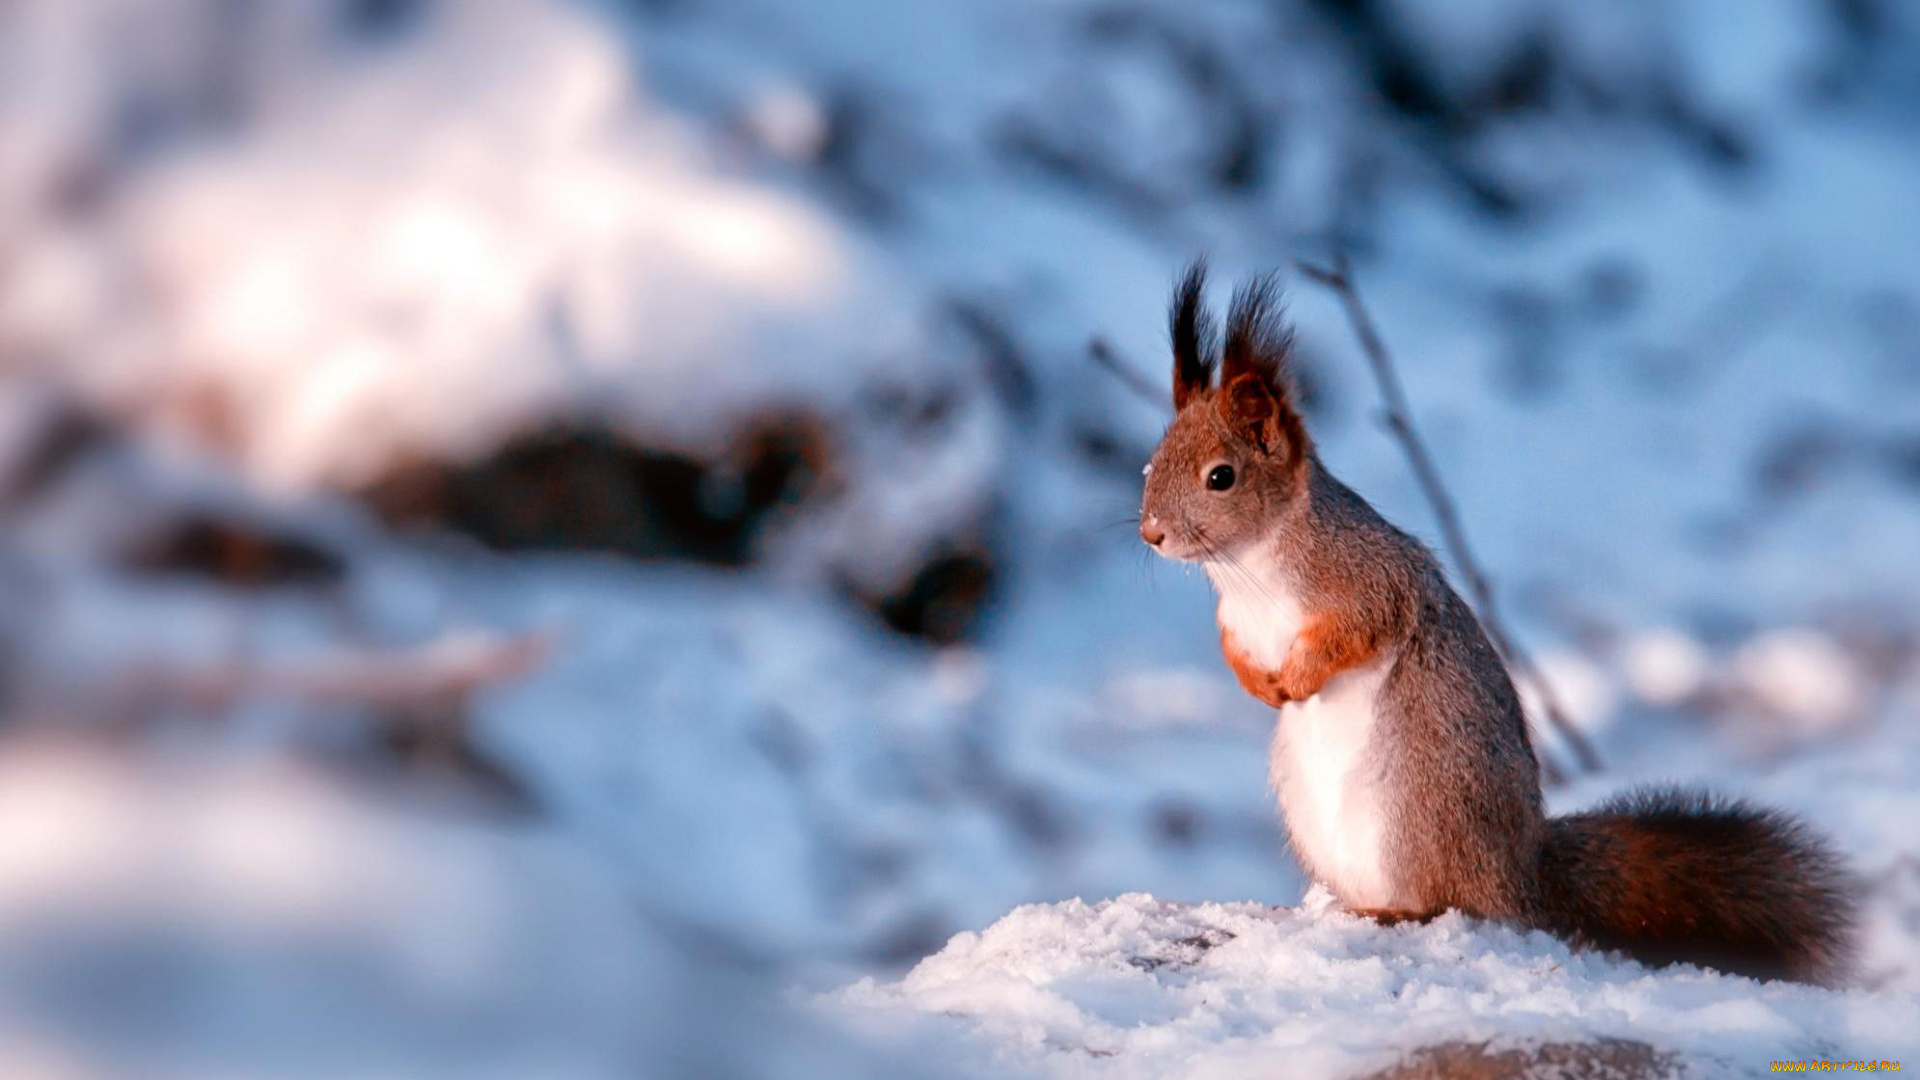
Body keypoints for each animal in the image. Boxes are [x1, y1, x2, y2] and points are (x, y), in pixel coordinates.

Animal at [1136, 263, 1858, 983]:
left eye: (1221, 477)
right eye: (1152, 460)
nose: (1151, 533)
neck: (1248, 567)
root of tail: (1520, 877)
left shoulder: (1368, 581)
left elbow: (1358, 631)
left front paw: (1299, 677)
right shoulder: (1235, 621)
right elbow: (1232, 650)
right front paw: (1260, 686)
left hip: (1418, 806)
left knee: (1451, 903)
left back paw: (1392, 912)